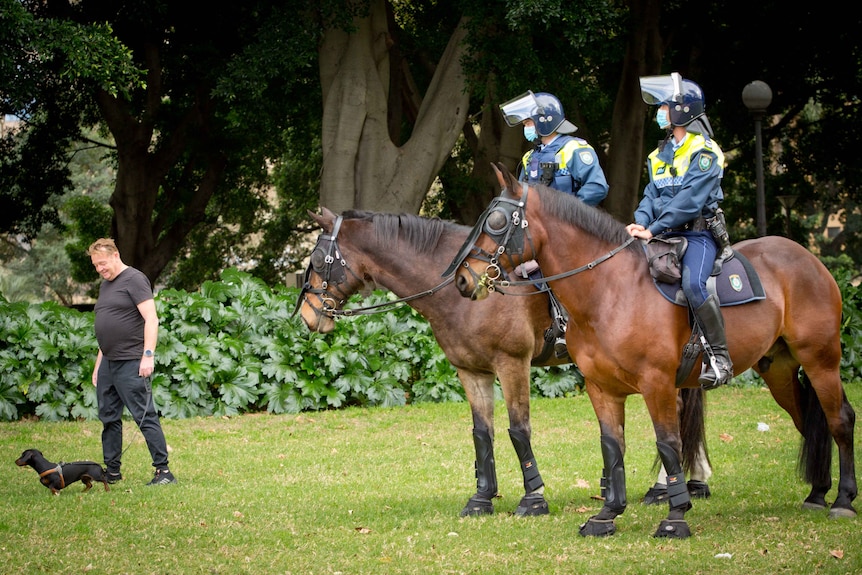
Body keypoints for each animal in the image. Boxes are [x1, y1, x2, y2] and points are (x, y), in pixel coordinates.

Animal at [296, 209, 716, 520]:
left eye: (316, 260)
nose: (306, 315)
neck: (459, 293)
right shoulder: (471, 371)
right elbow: (482, 433)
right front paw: (482, 497)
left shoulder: (512, 364)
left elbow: (518, 429)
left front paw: (534, 497)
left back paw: (670, 486)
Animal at [452, 163, 856, 540]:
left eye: (496, 221)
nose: (463, 279)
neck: (610, 291)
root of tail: (806, 258)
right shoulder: (602, 388)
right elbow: (612, 447)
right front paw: (607, 514)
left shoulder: (657, 384)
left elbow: (668, 444)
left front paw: (675, 517)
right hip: (779, 370)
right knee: (809, 419)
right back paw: (818, 493)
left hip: (821, 361)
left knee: (840, 419)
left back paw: (843, 500)